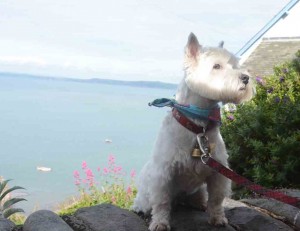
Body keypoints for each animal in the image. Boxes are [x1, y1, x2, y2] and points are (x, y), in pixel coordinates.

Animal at [132, 33, 254, 231]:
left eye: (235, 64)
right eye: (216, 66)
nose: (245, 78)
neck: (198, 124)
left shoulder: (218, 172)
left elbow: (216, 199)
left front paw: (218, 218)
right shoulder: (163, 175)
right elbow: (161, 202)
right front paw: (159, 223)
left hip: (197, 190)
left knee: (200, 197)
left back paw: (200, 203)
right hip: (146, 190)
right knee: (148, 202)